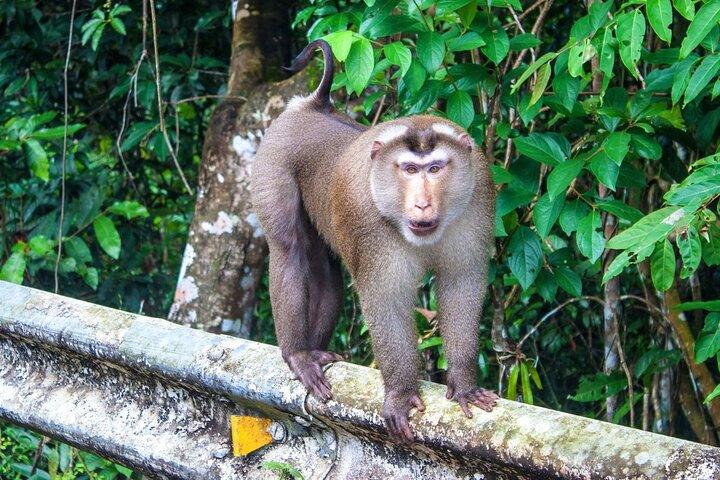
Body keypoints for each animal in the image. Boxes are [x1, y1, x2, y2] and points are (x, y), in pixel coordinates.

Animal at [250, 39, 498, 440]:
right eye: (409, 169)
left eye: (435, 168)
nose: (422, 202)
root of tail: (311, 106)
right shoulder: (367, 221)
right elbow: (385, 300)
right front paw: (400, 393)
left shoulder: (478, 201)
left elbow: (461, 285)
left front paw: (463, 384)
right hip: (272, 162)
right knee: (289, 249)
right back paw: (299, 355)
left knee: (325, 269)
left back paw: (316, 350)